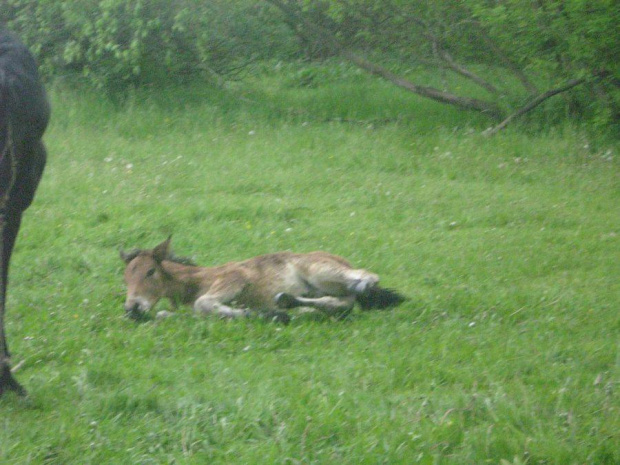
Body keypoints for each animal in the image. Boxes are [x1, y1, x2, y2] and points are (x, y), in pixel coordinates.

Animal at [120, 237, 406, 320]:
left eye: (150, 271)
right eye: (125, 278)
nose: (132, 308)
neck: (194, 281)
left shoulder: (235, 278)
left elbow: (204, 303)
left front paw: (248, 312)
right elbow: (167, 314)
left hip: (320, 271)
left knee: (364, 278)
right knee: (341, 304)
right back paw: (288, 304)